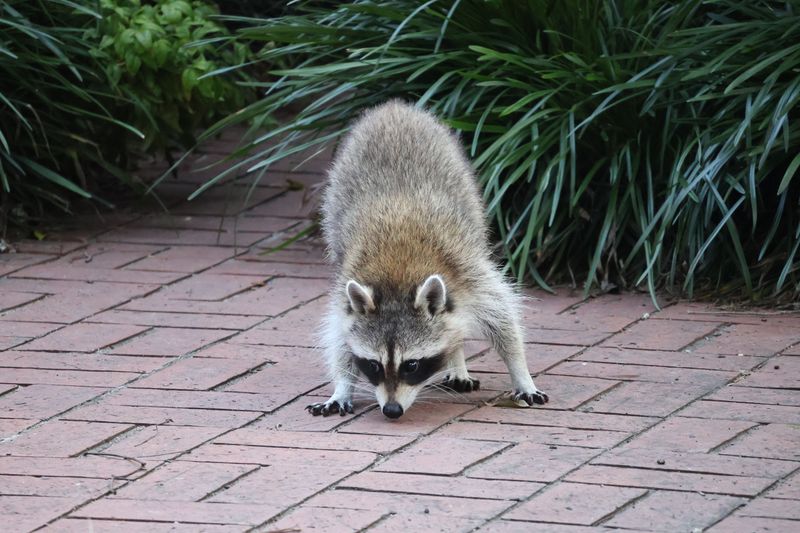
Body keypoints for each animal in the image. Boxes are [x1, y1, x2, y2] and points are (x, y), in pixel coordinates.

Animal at [307, 100, 549, 419]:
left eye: (411, 365)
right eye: (373, 365)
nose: (392, 410)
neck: (396, 278)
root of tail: (393, 107)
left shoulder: (470, 272)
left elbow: (503, 321)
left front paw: (520, 373)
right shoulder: (346, 285)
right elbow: (339, 336)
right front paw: (342, 385)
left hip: (465, 186)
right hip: (333, 200)